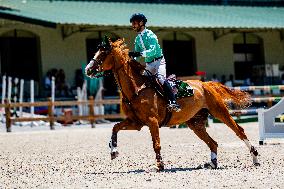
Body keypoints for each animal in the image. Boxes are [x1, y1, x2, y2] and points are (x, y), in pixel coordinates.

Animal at [85, 38, 260, 171]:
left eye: (103, 53)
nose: (88, 69)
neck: (136, 89)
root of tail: (207, 84)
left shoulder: (152, 121)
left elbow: (156, 144)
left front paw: (160, 165)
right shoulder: (136, 122)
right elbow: (115, 127)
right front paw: (113, 151)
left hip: (220, 112)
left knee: (239, 131)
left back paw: (255, 158)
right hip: (195, 123)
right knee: (213, 142)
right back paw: (212, 163)